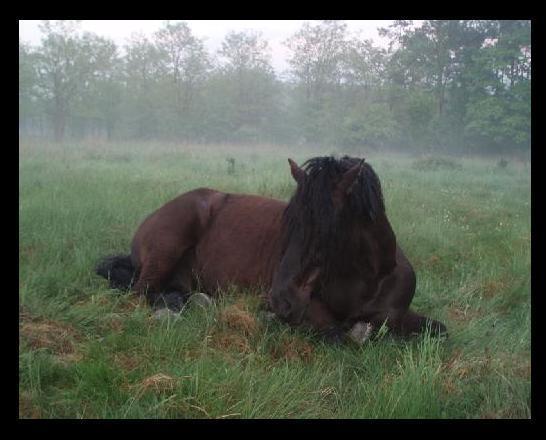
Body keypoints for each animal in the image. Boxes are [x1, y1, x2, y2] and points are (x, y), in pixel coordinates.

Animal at [96, 156, 446, 342]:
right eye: (289, 222)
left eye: (328, 227)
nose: (280, 301)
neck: (370, 277)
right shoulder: (314, 311)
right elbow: (336, 333)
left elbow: (439, 330)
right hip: (169, 243)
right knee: (141, 291)